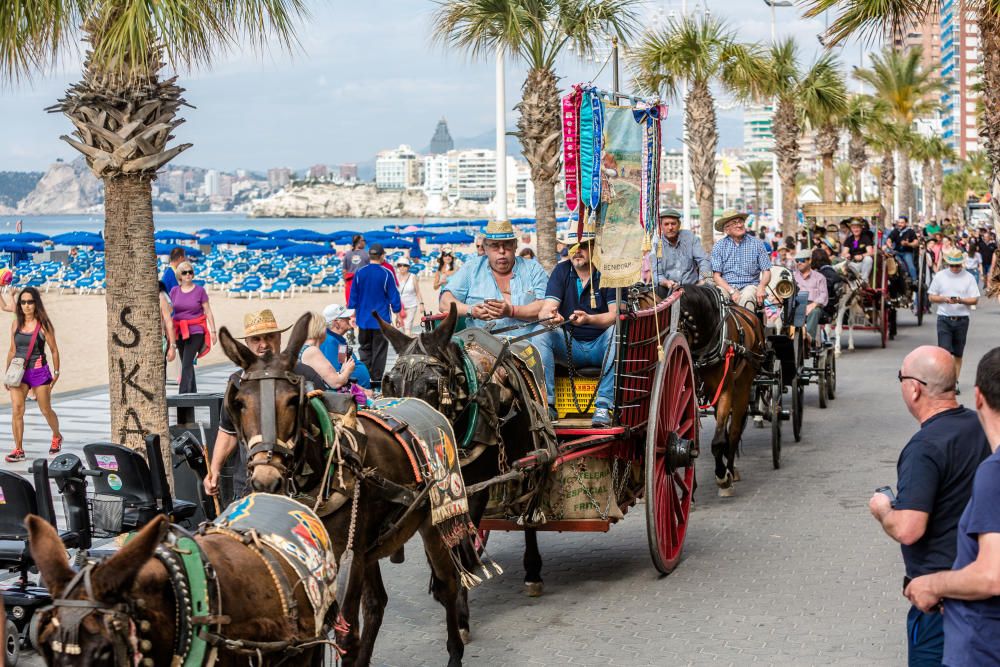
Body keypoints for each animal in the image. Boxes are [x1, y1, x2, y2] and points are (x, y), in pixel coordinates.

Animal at [219, 314, 476, 667]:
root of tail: (419, 402)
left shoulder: (347, 559)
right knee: (377, 603)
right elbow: (317, 636)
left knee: (447, 584)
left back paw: (455, 651)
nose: (265, 478)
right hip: (369, 549)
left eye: (292, 400)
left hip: (432, 522)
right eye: (240, 402)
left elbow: (345, 636)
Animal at [378, 306, 556, 604]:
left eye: (432, 385)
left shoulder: (476, 486)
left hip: (530, 458)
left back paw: (532, 571)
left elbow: (461, 541)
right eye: (391, 384)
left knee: (528, 511)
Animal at [680, 284, 764, 494]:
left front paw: (722, 477)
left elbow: (718, 441)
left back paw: (730, 471)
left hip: (743, 386)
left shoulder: (725, 389)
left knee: (733, 432)